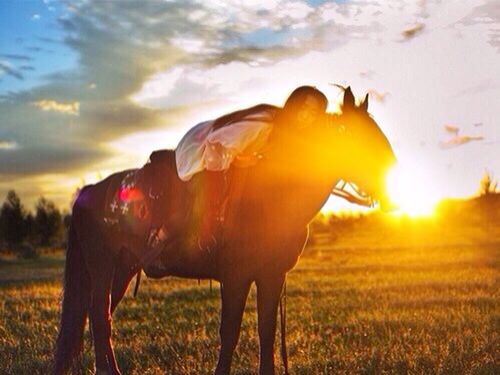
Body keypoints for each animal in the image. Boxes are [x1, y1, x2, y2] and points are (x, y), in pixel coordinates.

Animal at [52, 86, 396, 374]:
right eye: (357, 136)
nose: (390, 178)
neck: (272, 196)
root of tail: (89, 191)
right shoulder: (236, 276)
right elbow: (229, 333)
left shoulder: (272, 276)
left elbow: (266, 332)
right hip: (102, 266)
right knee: (100, 318)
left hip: (122, 268)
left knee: (99, 317)